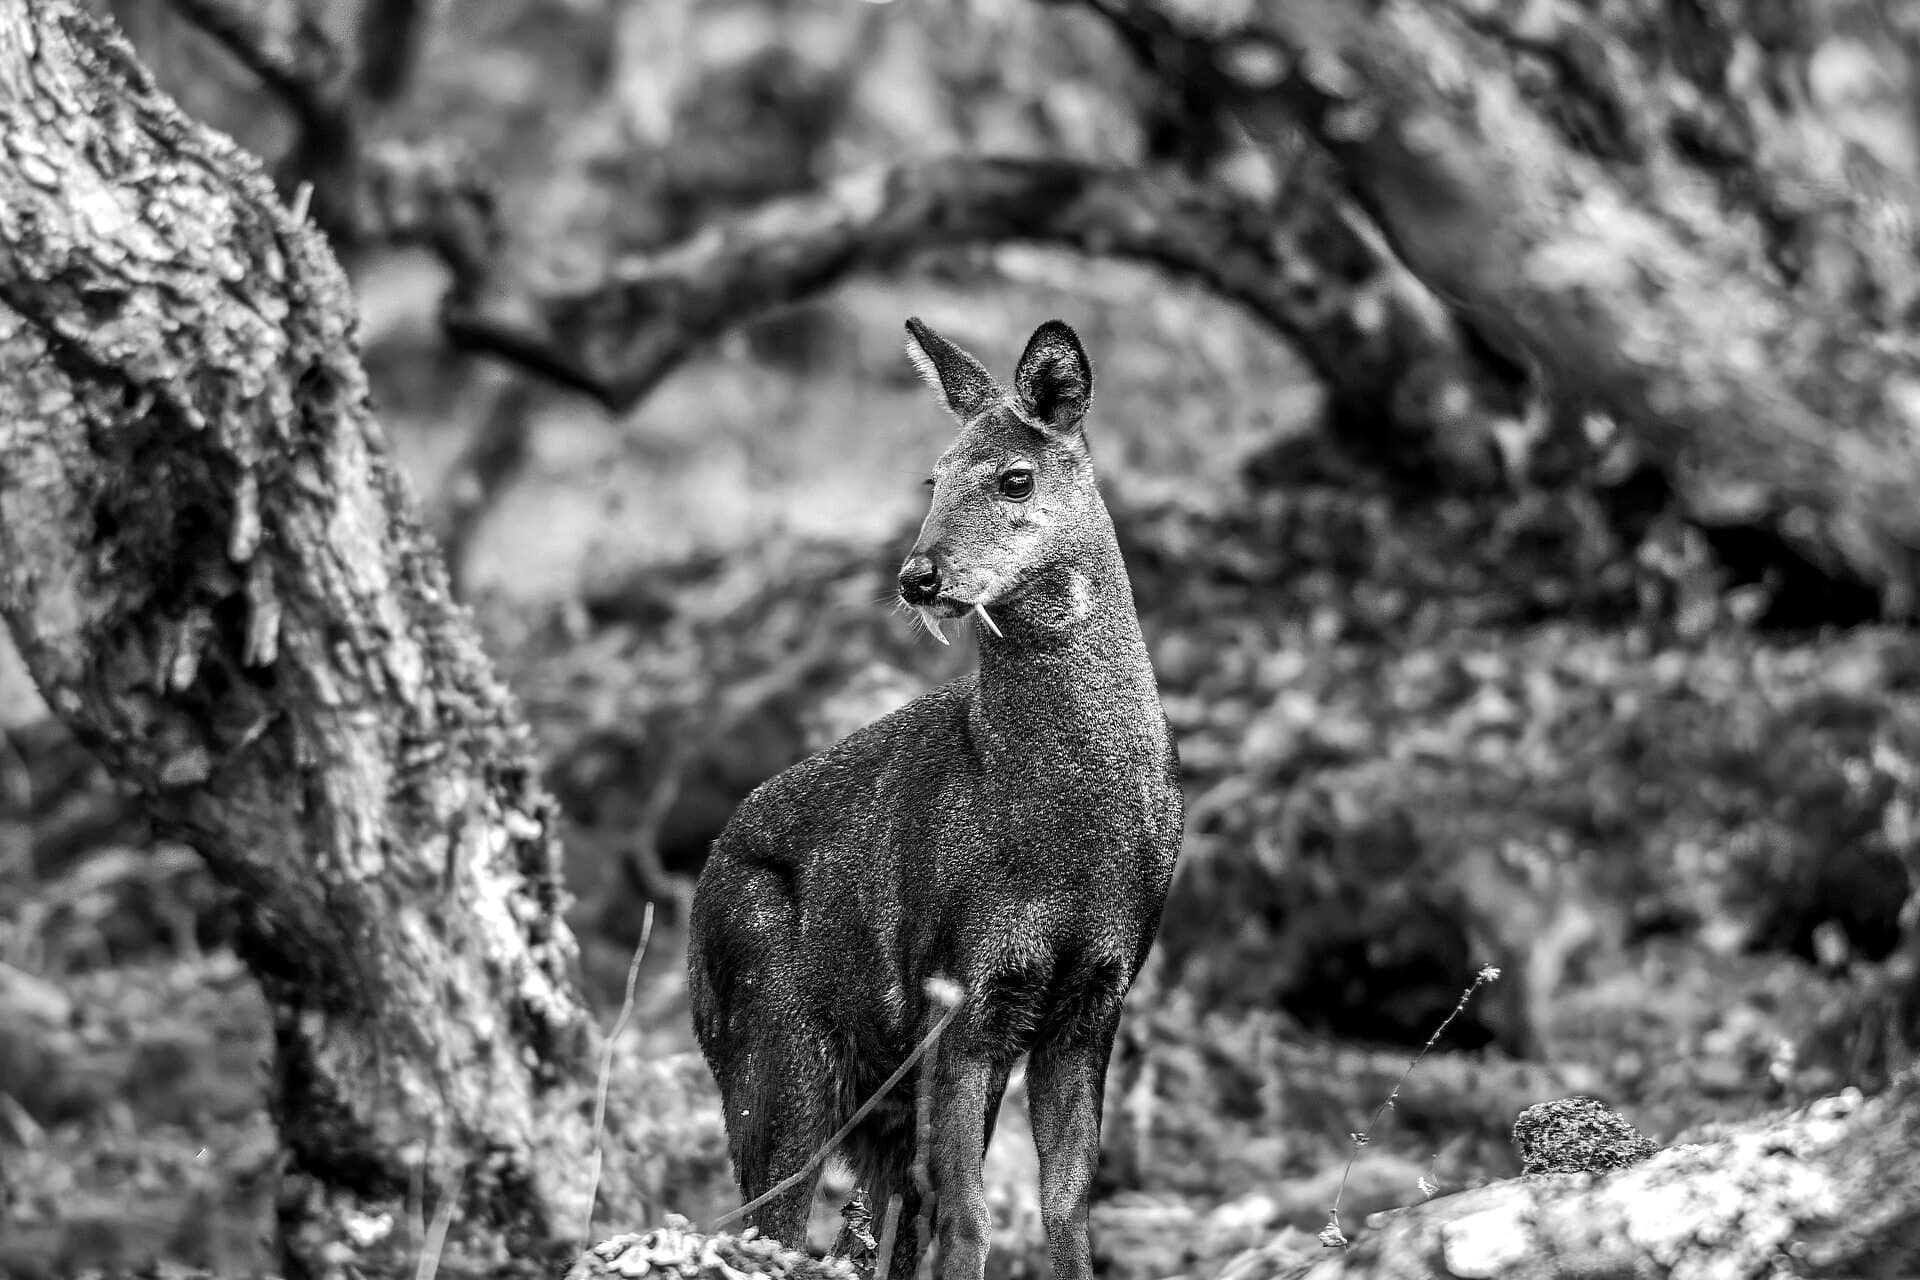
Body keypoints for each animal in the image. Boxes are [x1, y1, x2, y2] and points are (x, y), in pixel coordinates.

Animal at [686, 316, 1183, 1280]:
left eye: (1015, 475)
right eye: (933, 476)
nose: (918, 577)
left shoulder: (1095, 996)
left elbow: (1066, 1210)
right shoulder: (958, 985)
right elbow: (970, 1217)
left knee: (866, 1221)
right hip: (771, 1039)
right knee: (766, 1221)